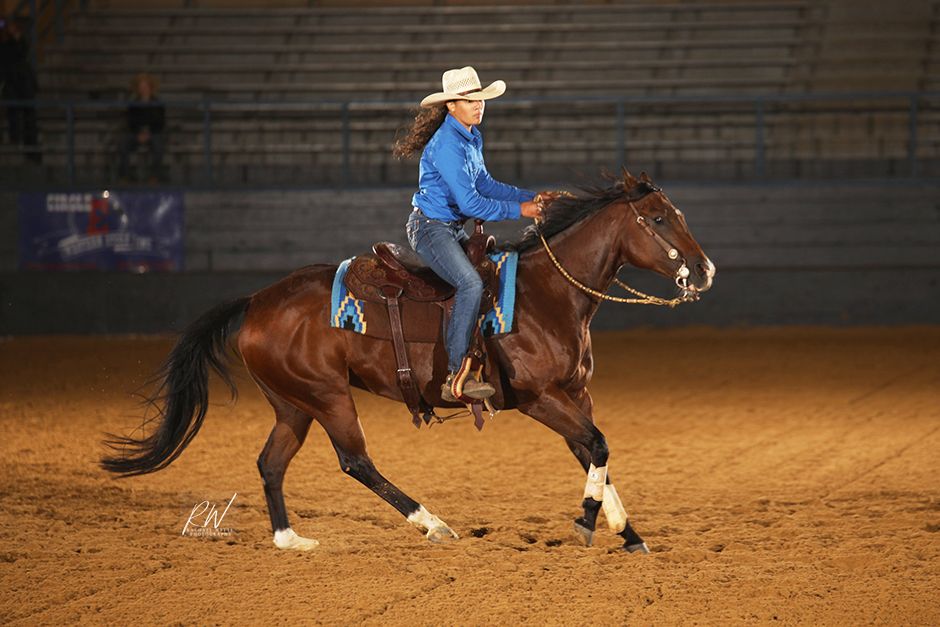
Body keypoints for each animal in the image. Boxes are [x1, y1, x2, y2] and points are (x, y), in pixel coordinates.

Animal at [101, 170, 715, 553]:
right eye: (659, 219)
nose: (705, 271)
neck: (546, 297)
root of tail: (256, 300)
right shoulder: (539, 399)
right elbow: (598, 446)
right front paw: (589, 523)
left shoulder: (575, 395)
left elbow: (593, 451)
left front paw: (627, 532)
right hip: (327, 396)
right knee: (355, 461)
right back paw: (433, 525)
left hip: (293, 403)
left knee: (271, 464)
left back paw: (290, 539)